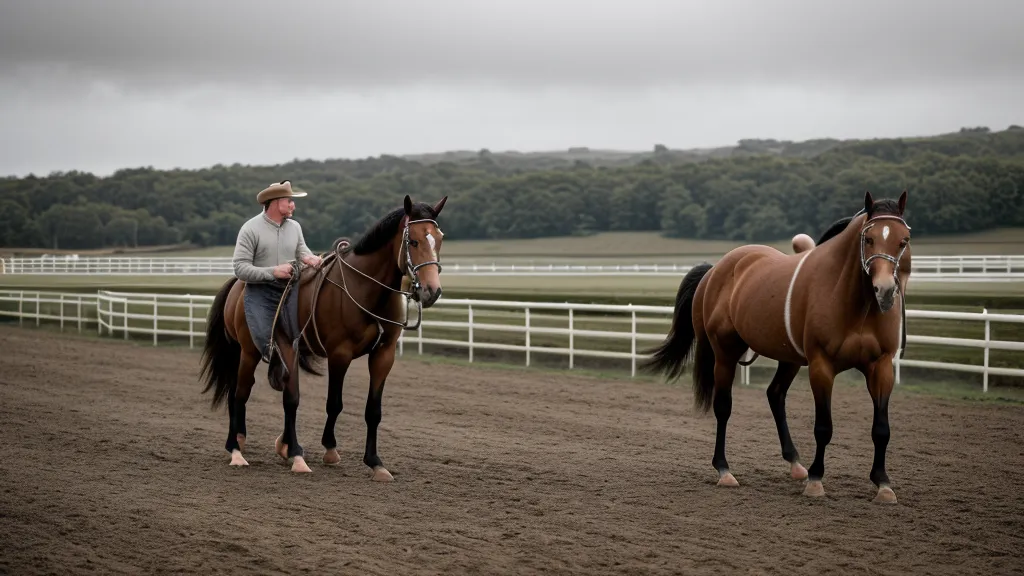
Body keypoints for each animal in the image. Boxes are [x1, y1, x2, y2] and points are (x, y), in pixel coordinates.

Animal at [199, 194, 447, 480]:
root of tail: (237, 285)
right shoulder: (340, 354)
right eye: (413, 241)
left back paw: (274, 445)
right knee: (239, 393)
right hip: (248, 351)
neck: (365, 290)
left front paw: (376, 462)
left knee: (277, 393)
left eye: (439, 238)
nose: (431, 291)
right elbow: (334, 403)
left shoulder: (384, 355)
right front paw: (330, 449)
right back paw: (236, 449)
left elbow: (373, 410)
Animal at [641, 190, 911, 503]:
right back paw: (724, 470)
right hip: (725, 352)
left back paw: (795, 463)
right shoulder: (821, 365)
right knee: (723, 406)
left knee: (775, 394)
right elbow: (823, 427)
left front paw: (882, 483)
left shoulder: (881, 366)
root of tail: (716, 269)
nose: (885, 290)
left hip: (789, 358)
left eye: (903, 240)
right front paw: (816, 479)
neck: (854, 304)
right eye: (868, 239)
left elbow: (881, 430)